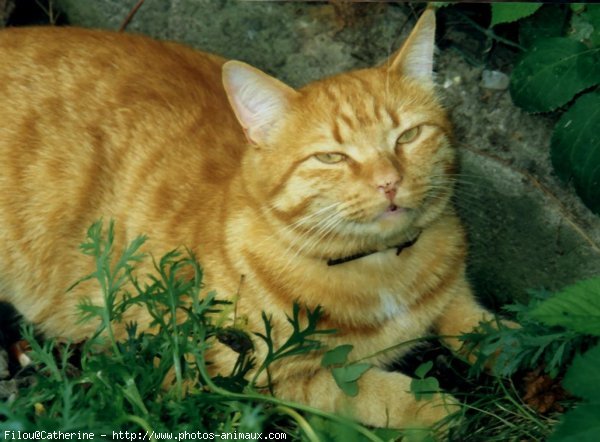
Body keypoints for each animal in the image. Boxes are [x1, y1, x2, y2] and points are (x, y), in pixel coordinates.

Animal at [0, 10, 492, 430]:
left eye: (409, 135)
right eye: (331, 157)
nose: (389, 182)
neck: (383, 268)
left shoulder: (455, 284)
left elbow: (478, 324)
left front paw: (499, 344)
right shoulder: (237, 373)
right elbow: (351, 388)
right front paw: (433, 404)